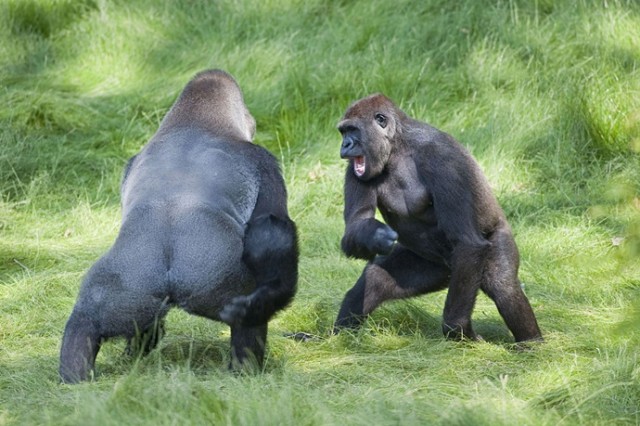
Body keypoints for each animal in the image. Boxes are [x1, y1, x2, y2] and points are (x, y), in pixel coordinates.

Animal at [58, 69, 298, 382]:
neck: (194, 121)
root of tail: (170, 277)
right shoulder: (264, 162)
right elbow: (271, 226)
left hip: (128, 286)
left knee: (86, 319)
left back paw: (78, 373)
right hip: (219, 280)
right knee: (249, 317)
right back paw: (246, 370)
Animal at [336, 93, 540, 342]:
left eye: (353, 130)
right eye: (343, 132)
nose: (345, 145)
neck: (397, 146)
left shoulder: (443, 160)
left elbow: (467, 241)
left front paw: (458, 328)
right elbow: (356, 225)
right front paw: (375, 236)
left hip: (491, 244)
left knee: (503, 286)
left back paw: (532, 343)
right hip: (439, 268)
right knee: (375, 279)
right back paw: (336, 338)